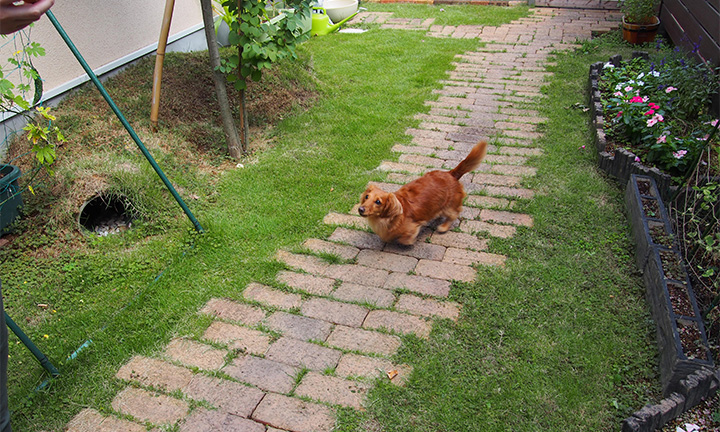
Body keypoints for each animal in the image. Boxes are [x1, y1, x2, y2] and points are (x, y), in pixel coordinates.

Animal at [360, 141, 490, 245]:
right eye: (366, 197)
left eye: (378, 202)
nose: (360, 209)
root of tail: (451, 174)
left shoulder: (412, 226)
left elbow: (405, 238)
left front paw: (408, 241)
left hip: (449, 206)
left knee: (454, 214)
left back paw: (443, 226)